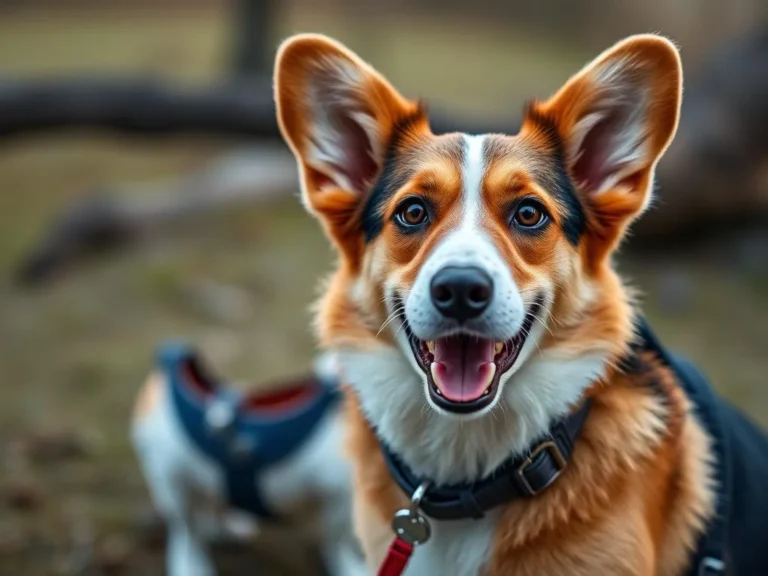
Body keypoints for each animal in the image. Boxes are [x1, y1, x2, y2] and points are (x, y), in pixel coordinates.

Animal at [132, 346, 366, 576]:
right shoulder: (340, 495)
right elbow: (337, 538)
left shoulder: (340, 498)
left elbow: (337, 537)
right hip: (170, 480)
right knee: (186, 527)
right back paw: (193, 563)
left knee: (207, 505)